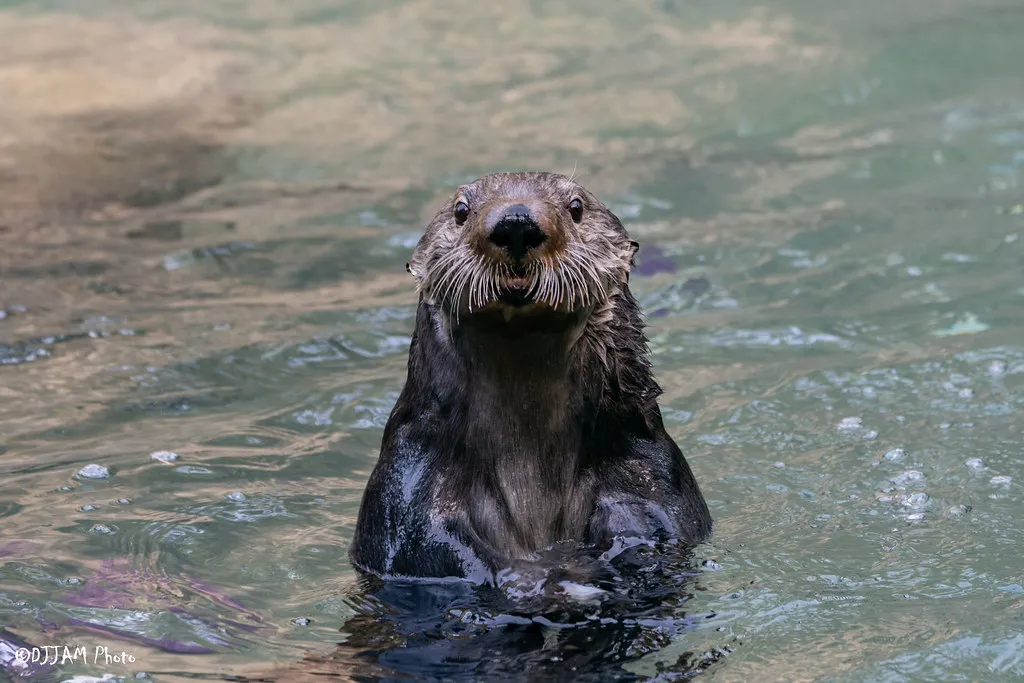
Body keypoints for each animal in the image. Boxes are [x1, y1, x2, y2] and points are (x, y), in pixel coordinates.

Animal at [350, 171, 711, 582]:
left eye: (576, 207)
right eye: (461, 210)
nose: (516, 221)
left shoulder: (651, 469)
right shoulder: (404, 492)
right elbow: (434, 549)